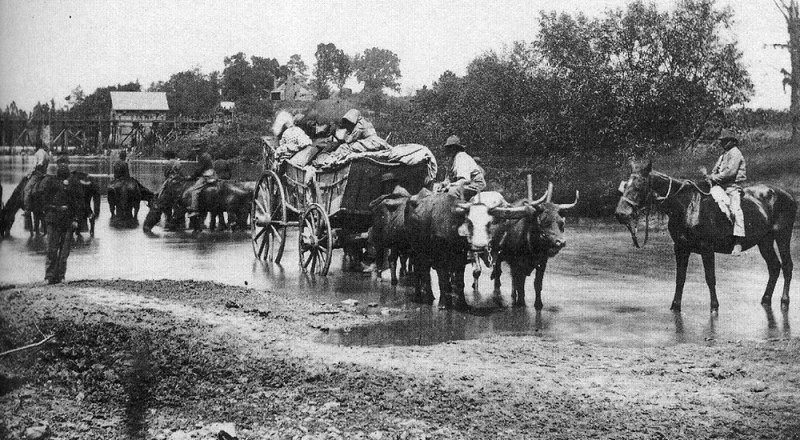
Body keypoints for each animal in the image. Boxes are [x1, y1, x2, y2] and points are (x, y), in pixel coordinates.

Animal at [612, 162, 792, 312]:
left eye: (639, 185)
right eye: (625, 186)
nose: (621, 214)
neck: (687, 206)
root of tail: (787, 195)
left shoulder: (707, 249)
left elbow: (710, 278)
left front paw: (714, 306)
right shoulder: (680, 248)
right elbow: (680, 278)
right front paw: (675, 306)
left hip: (783, 236)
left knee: (787, 266)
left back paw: (784, 300)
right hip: (765, 241)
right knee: (774, 267)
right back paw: (766, 299)